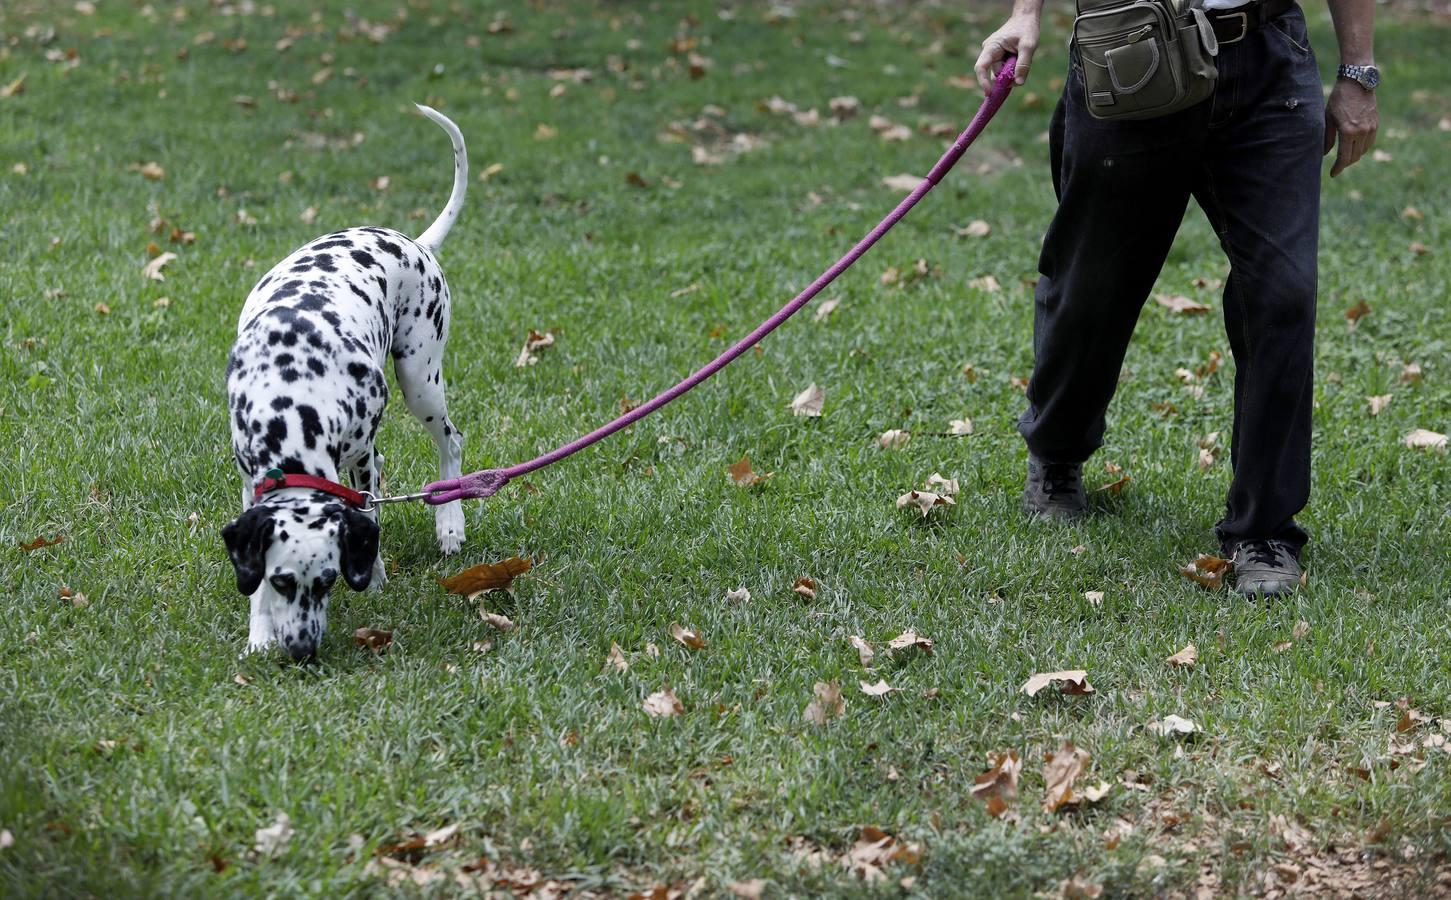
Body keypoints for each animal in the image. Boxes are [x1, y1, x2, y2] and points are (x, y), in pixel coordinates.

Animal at [222, 105, 470, 656]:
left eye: (328, 581)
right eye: (282, 581)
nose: (302, 650)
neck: (291, 398)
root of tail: (416, 243)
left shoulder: (357, 459)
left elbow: (370, 517)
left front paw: (373, 576)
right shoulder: (250, 484)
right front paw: (259, 633)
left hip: (420, 380)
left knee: (450, 441)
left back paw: (449, 525)